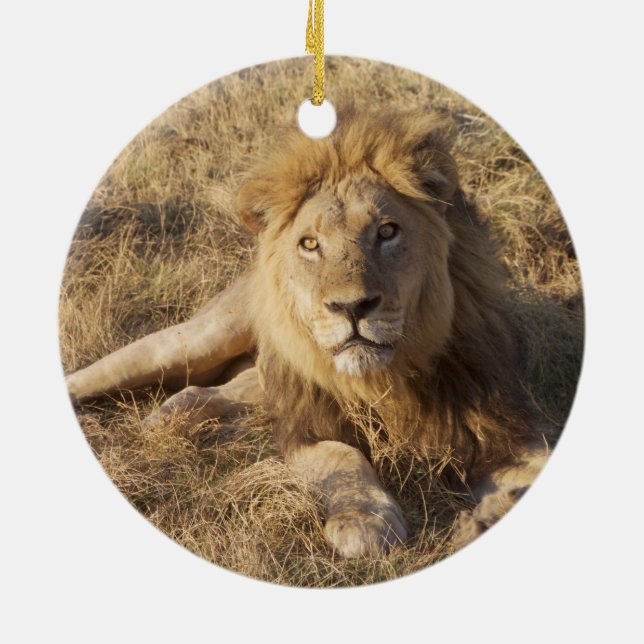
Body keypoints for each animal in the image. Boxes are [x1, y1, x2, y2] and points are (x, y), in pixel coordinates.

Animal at [65, 104, 550, 557]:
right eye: (310, 244)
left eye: (387, 231)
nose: (351, 307)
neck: (383, 379)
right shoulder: (305, 428)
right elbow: (342, 456)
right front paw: (363, 519)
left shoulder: (504, 424)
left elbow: (533, 467)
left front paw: (489, 515)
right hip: (194, 342)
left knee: (214, 389)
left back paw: (172, 418)